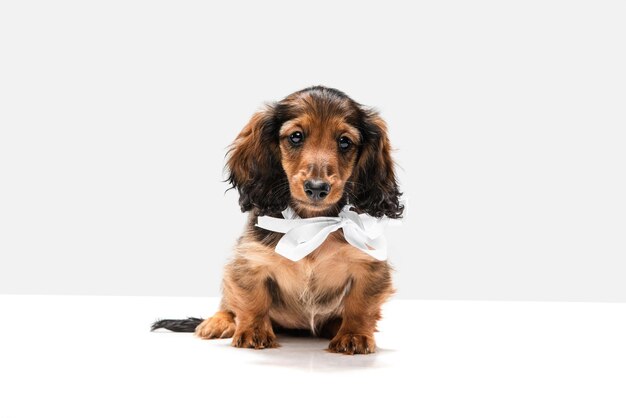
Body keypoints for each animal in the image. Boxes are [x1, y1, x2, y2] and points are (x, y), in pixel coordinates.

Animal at [154, 86, 402, 354]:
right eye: (296, 137)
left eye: (345, 141)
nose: (317, 188)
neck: (310, 224)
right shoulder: (250, 261)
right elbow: (252, 300)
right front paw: (253, 331)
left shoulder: (368, 265)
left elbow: (361, 305)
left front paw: (354, 335)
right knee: (228, 304)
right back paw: (218, 322)